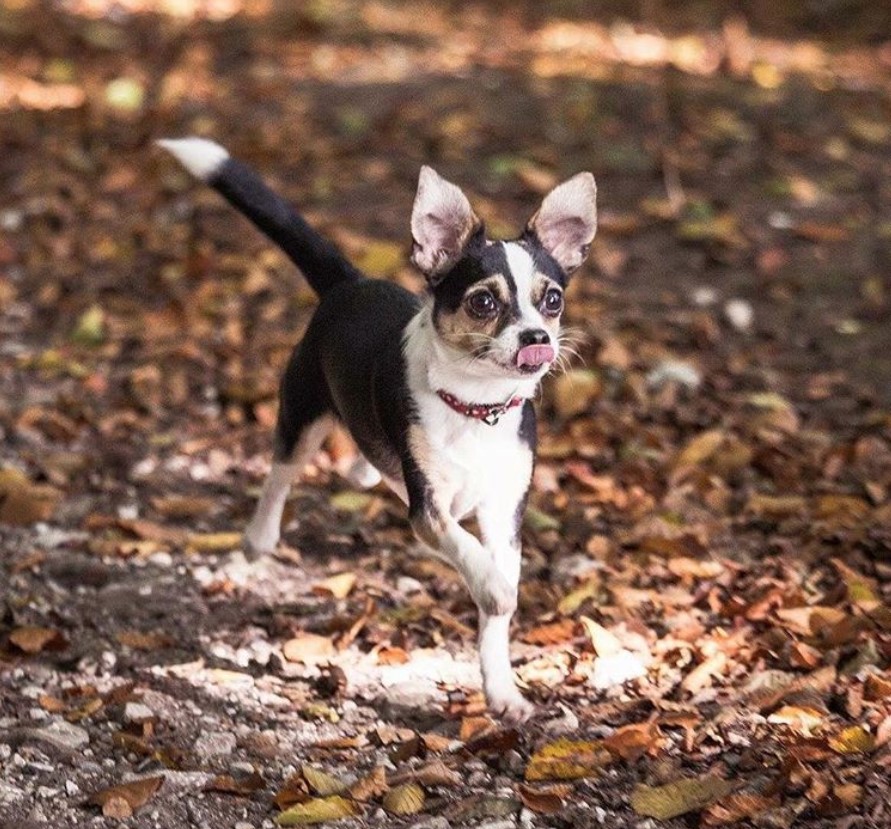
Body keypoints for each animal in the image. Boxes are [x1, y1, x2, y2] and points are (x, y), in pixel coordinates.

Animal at [159, 139, 600, 720]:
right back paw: (259, 537)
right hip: (302, 415)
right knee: (279, 476)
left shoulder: (504, 511)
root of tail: (350, 281)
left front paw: (502, 691)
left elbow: (494, 613)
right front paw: (494, 588)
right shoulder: (429, 512)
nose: (537, 338)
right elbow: (475, 561)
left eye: (553, 300)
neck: (475, 409)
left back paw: (364, 472)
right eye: (483, 302)